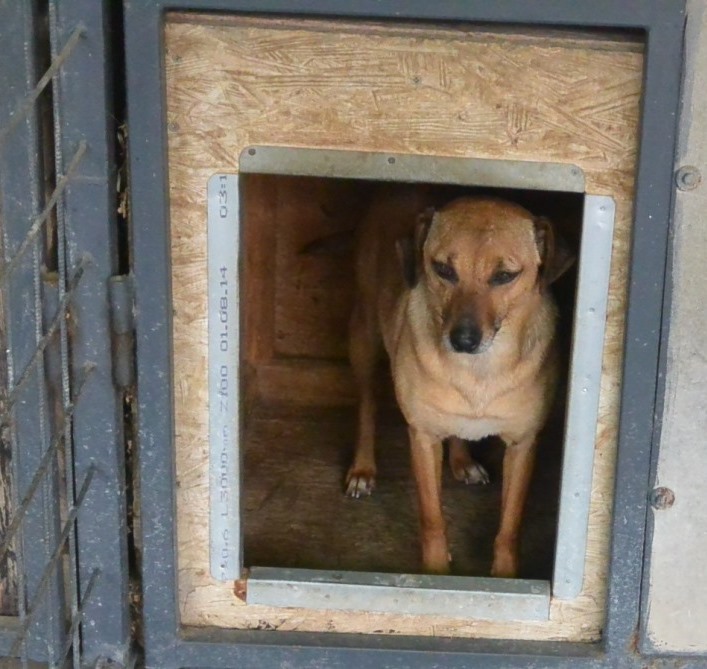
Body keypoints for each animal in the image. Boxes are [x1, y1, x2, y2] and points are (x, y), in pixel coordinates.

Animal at [346, 185, 573, 577]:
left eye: (505, 275)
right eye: (443, 270)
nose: (463, 340)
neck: (478, 370)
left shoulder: (523, 445)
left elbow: (509, 527)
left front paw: (505, 576)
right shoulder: (423, 439)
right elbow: (433, 519)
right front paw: (436, 574)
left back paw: (462, 460)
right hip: (364, 338)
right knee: (367, 405)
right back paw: (363, 467)